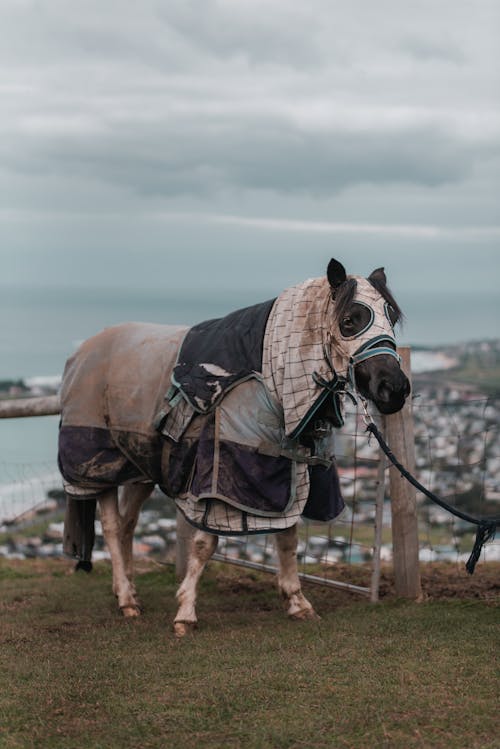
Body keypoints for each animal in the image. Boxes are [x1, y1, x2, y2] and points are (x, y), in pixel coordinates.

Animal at [58, 258, 410, 632]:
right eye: (349, 321)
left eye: (391, 317)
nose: (394, 388)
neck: (273, 378)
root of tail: (81, 352)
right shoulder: (216, 480)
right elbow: (204, 543)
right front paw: (185, 612)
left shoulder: (290, 472)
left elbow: (287, 537)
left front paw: (298, 602)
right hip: (97, 465)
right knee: (111, 527)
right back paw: (125, 598)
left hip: (140, 467)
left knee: (127, 525)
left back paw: (127, 591)